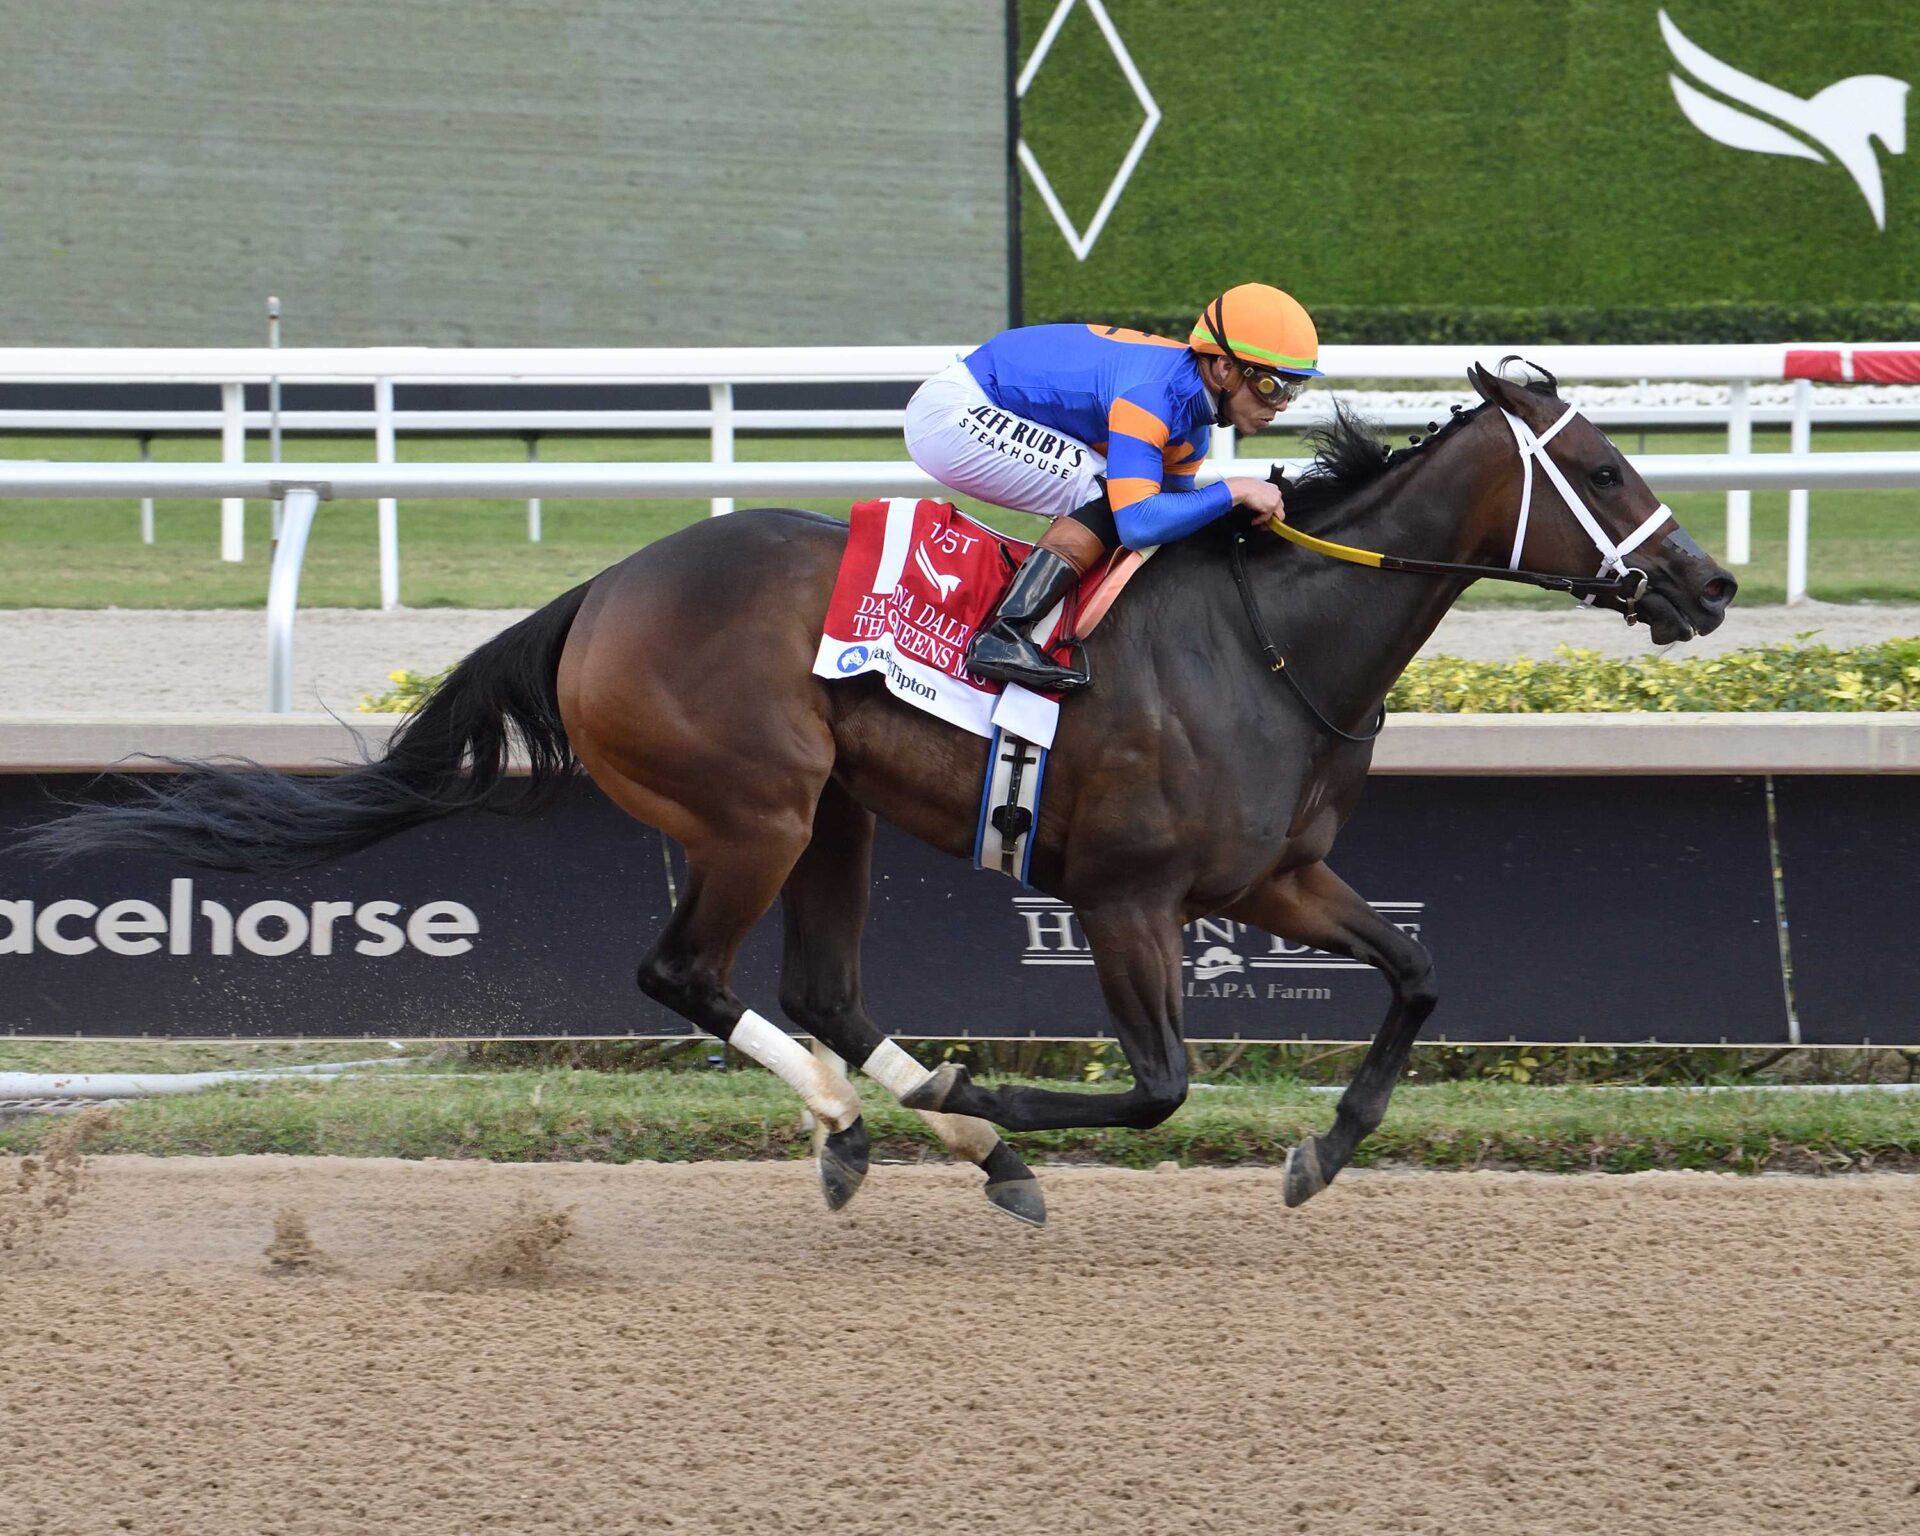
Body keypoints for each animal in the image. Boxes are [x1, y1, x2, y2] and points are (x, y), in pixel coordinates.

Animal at [22, 360, 1735, 1226]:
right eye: (1607, 467)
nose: (1711, 585)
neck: (1278, 640)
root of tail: (603, 590)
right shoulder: (1123, 897)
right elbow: (1162, 1084)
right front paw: (997, 1097)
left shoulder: (1271, 880)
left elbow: (1420, 971)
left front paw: (1326, 1148)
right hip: (754, 810)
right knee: (688, 974)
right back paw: (890, 1120)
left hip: (832, 813)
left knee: (826, 989)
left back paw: (933, 1134)